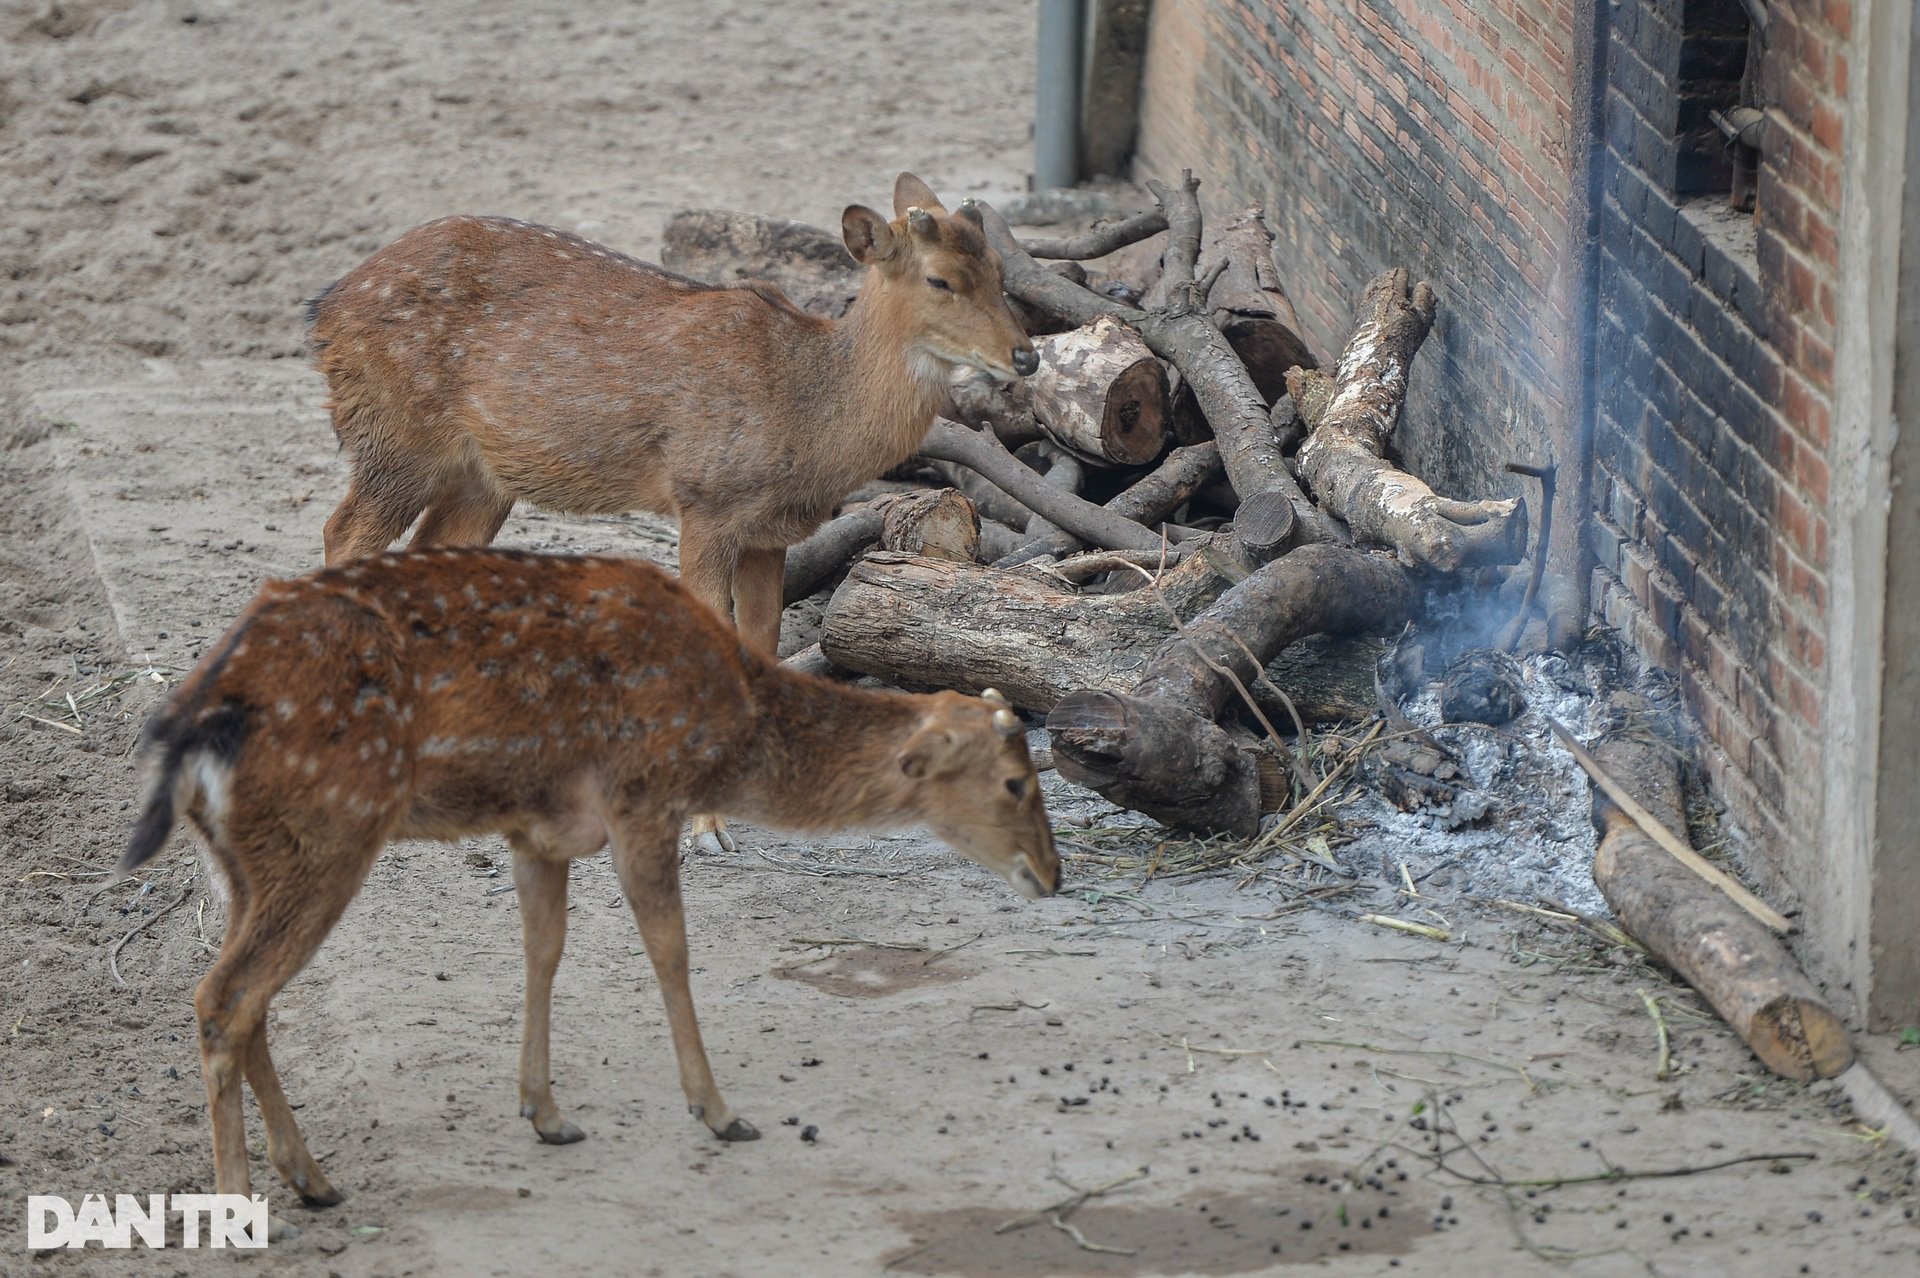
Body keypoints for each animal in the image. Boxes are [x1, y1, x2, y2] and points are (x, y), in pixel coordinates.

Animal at [120, 548, 1059, 1228]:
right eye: (1018, 782)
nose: (1053, 873)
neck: (732, 725)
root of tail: (194, 722)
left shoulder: (541, 830)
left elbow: (544, 950)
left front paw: (546, 1112)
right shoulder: (644, 793)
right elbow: (671, 949)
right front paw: (718, 1110)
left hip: (243, 859)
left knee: (244, 999)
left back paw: (313, 1179)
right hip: (328, 831)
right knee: (225, 997)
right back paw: (245, 1205)